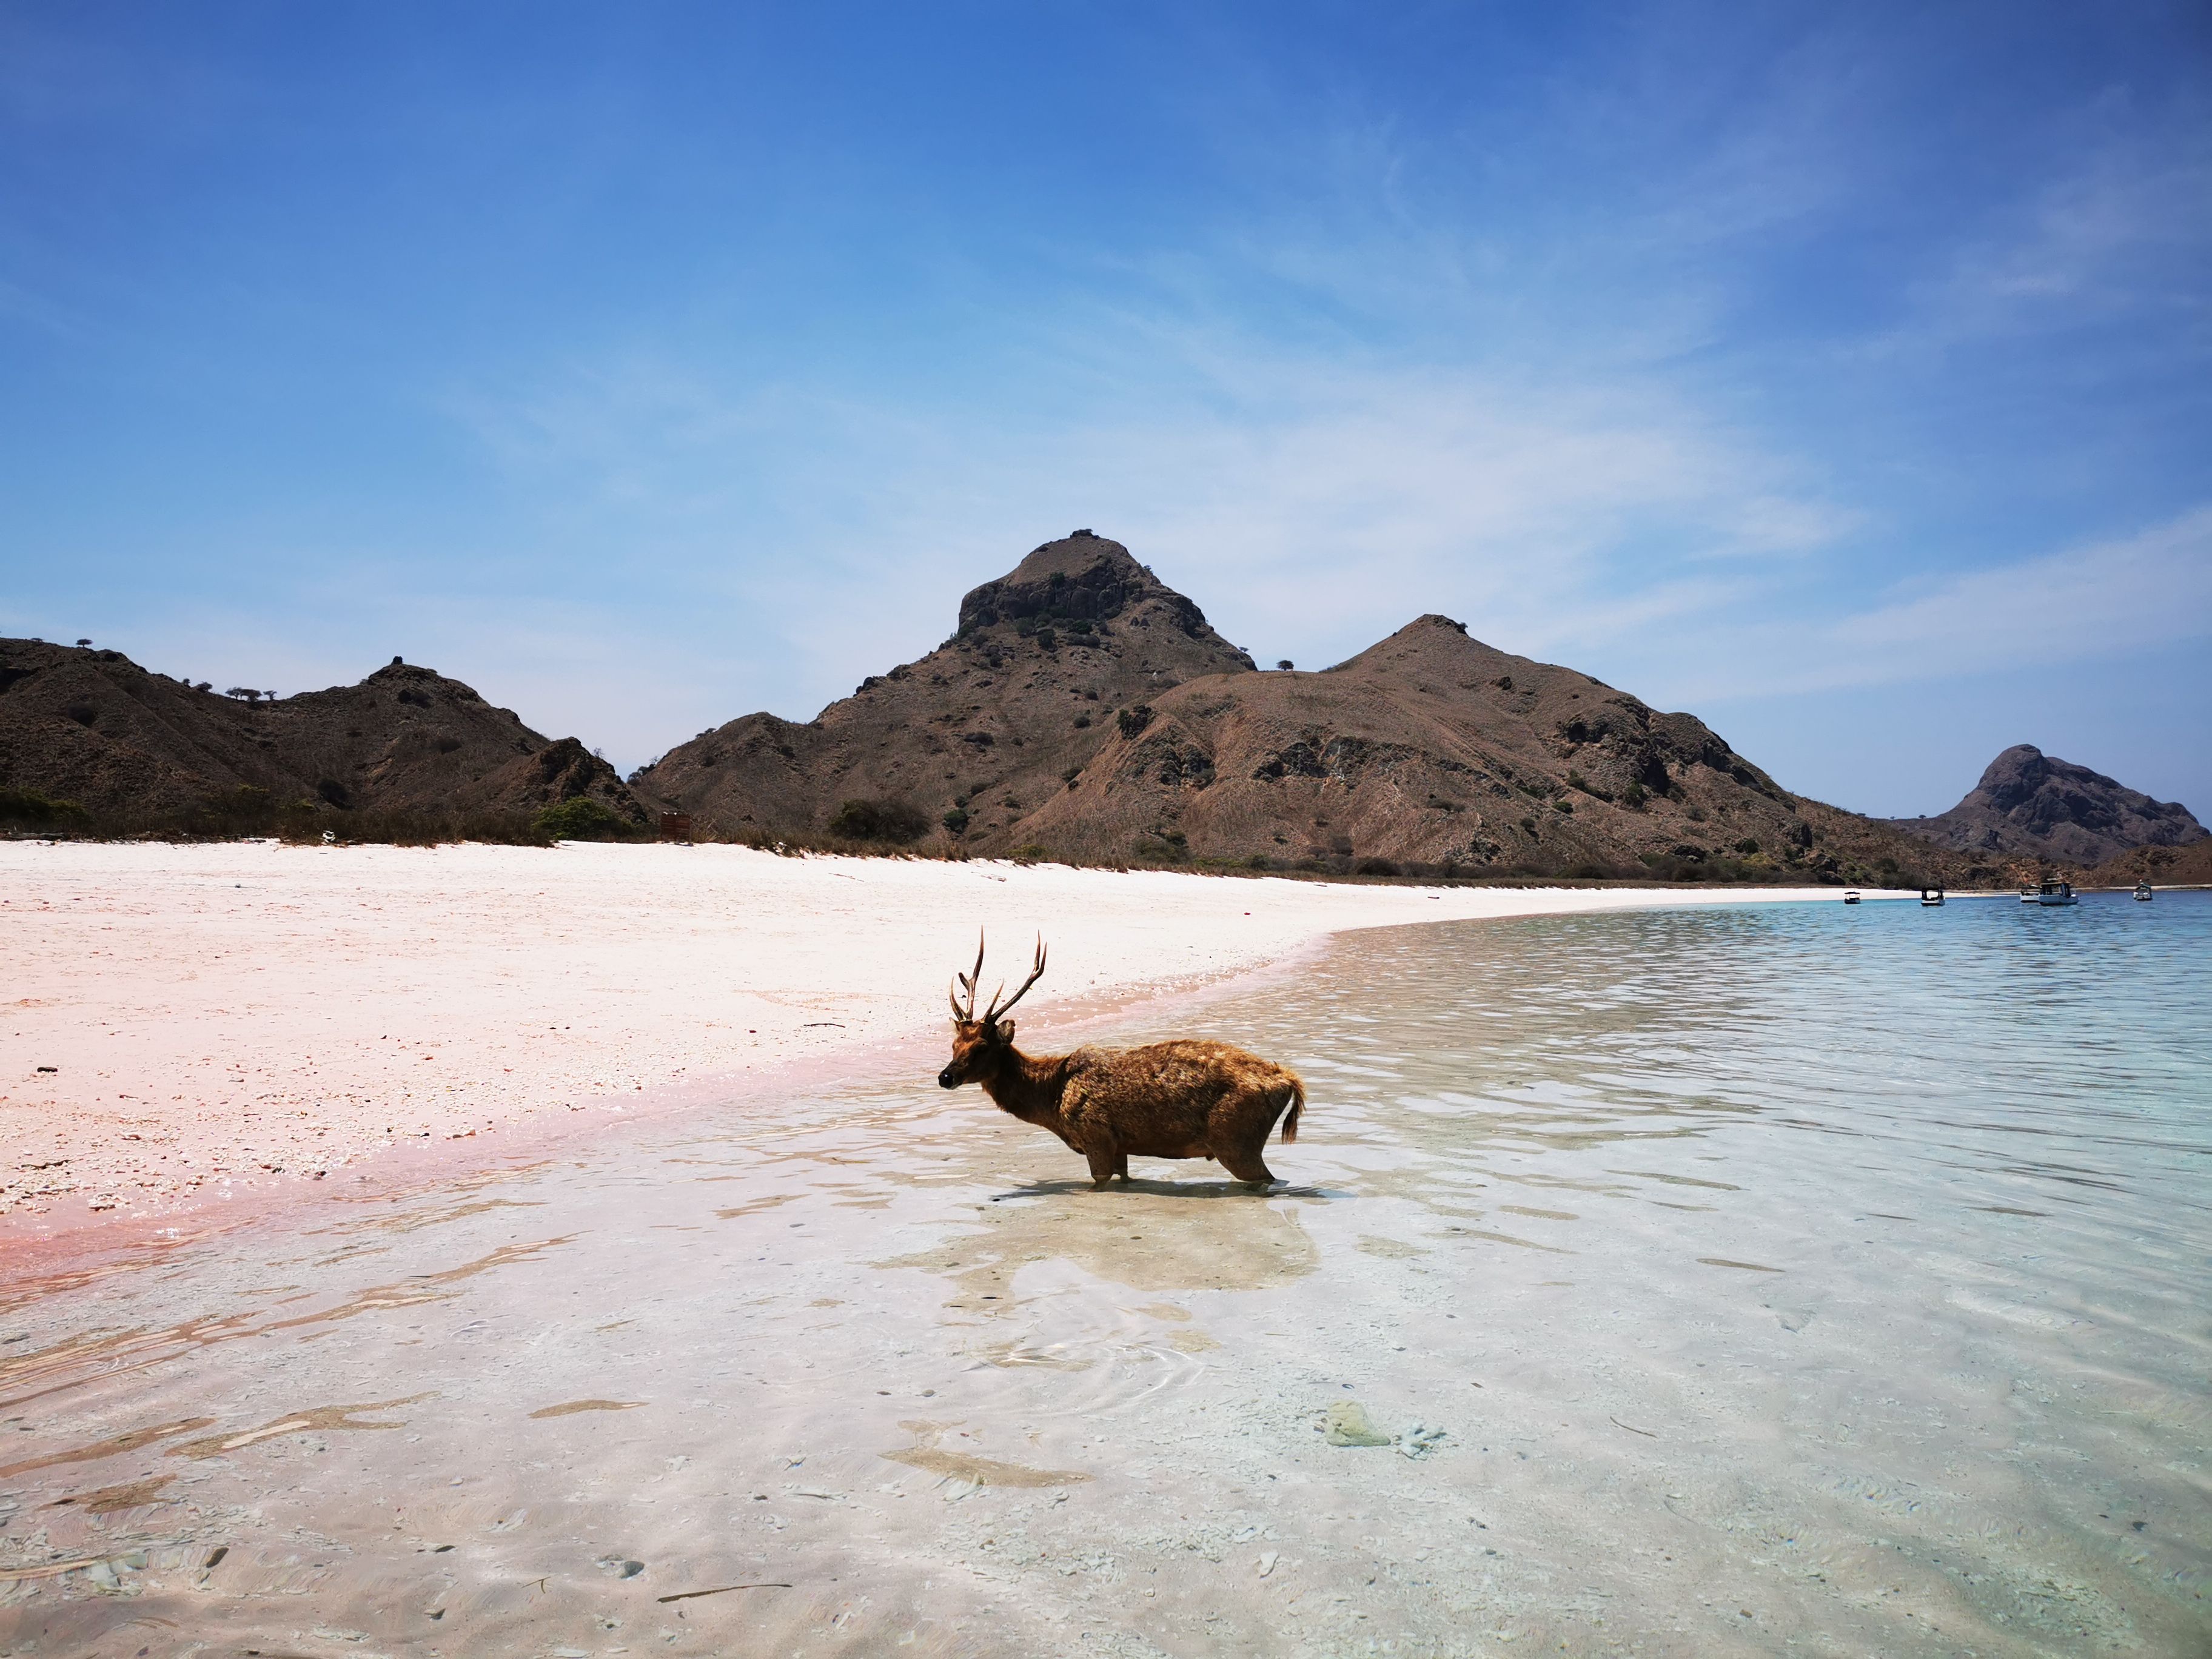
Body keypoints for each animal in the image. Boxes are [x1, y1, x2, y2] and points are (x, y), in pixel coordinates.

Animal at [929, 937, 1292, 1194]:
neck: (1052, 1102)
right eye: (954, 1044)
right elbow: (1126, 1178)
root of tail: (1290, 1081)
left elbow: (1097, 1183)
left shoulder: (1096, 1135)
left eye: (982, 1047)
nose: (945, 1077)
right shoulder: (1121, 1145)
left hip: (1234, 1137)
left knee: (1270, 1178)